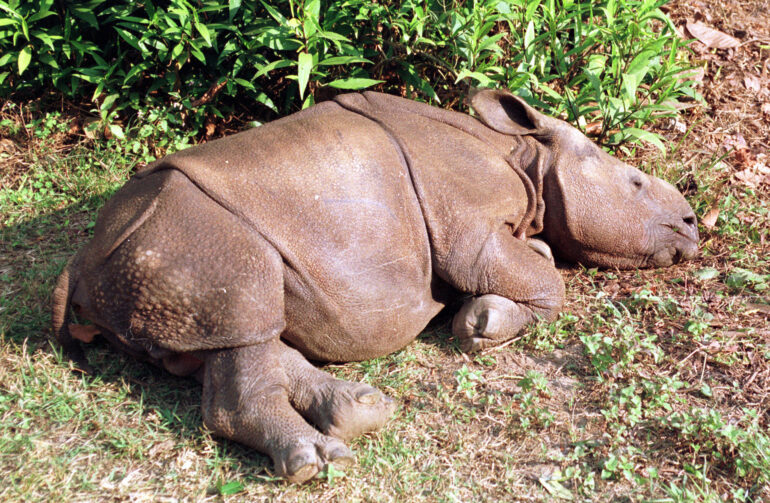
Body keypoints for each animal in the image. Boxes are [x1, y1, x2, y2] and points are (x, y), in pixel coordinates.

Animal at [52, 89, 698, 483]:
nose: (693, 222)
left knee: (238, 339)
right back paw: (319, 461)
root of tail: (79, 263)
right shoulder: (466, 225)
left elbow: (535, 260)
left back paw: (360, 413)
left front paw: (485, 311)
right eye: (637, 184)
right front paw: (482, 325)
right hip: (195, 235)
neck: (524, 157)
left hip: (165, 258)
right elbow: (540, 281)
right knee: (246, 316)